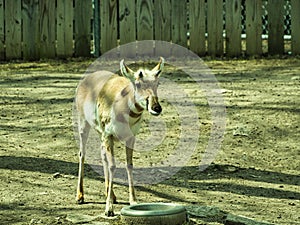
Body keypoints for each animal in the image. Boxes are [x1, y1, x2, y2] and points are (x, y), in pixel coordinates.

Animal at [74, 57, 164, 216]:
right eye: (138, 83)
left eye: (157, 83)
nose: (156, 108)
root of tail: (87, 78)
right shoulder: (109, 135)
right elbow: (113, 166)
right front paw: (108, 209)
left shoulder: (130, 137)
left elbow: (129, 165)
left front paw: (133, 201)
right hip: (84, 125)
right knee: (82, 154)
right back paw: (80, 196)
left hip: (101, 134)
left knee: (102, 155)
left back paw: (111, 195)